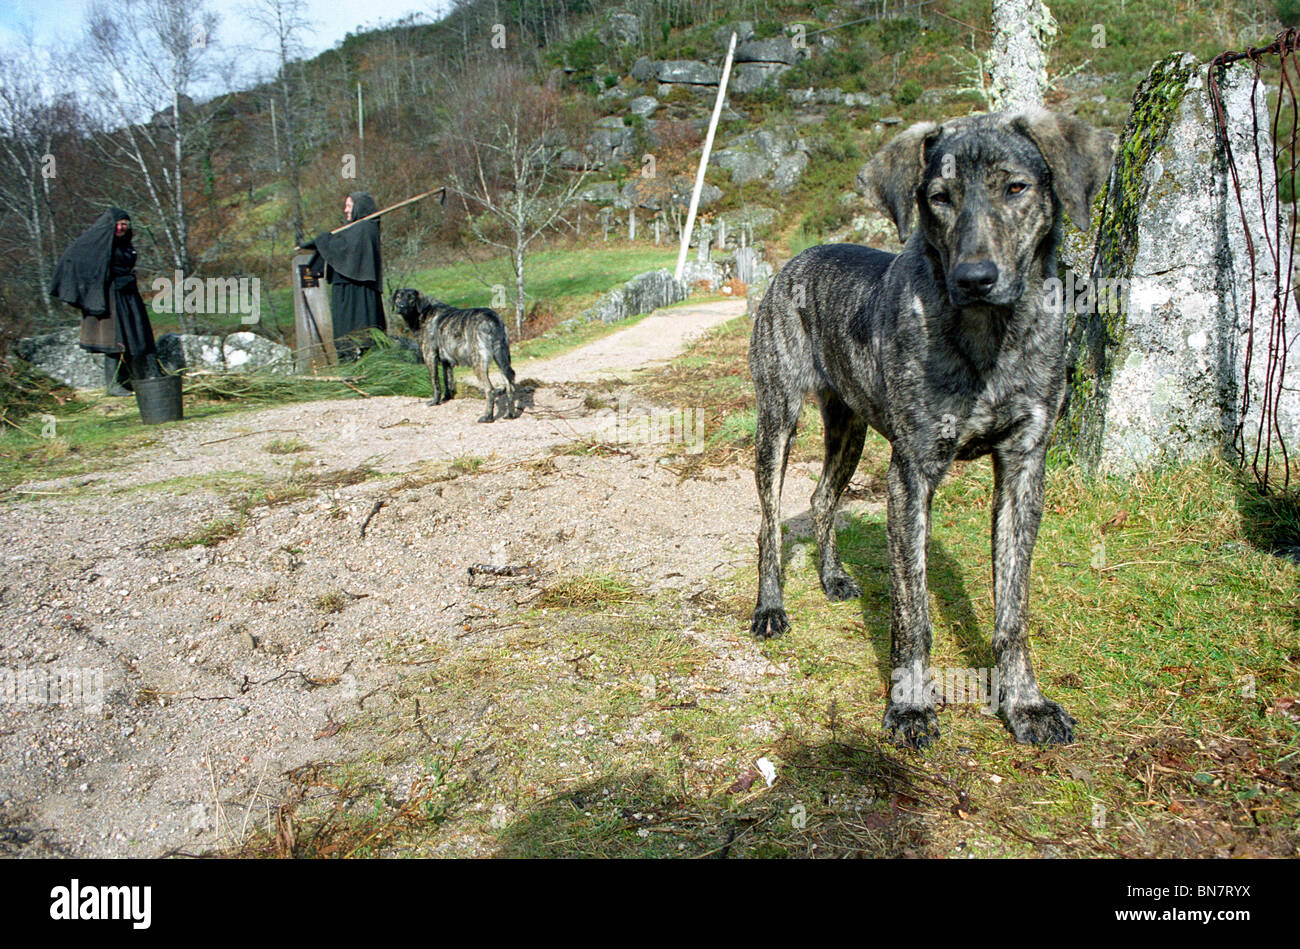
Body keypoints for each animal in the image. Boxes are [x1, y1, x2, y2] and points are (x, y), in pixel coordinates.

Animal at [387, 288, 520, 421]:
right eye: (398, 297)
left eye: (411, 298)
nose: (401, 306)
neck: (423, 312)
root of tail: (491, 318)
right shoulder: (446, 361)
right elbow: (447, 380)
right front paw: (447, 397)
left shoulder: (429, 356)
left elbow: (435, 381)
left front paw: (435, 401)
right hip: (501, 360)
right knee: (510, 384)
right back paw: (510, 414)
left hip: (477, 361)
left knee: (489, 389)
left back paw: (487, 416)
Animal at [754, 112, 1118, 748]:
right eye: (939, 198)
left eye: (1016, 188)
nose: (975, 276)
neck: (987, 334)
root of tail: (795, 261)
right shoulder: (912, 475)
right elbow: (913, 614)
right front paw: (910, 707)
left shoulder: (1023, 467)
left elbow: (1013, 611)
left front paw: (1025, 703)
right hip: (778, 418)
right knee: (769, 525)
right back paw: (770, 607)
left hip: (849, 427)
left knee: (823, 498)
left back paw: (832, 577)